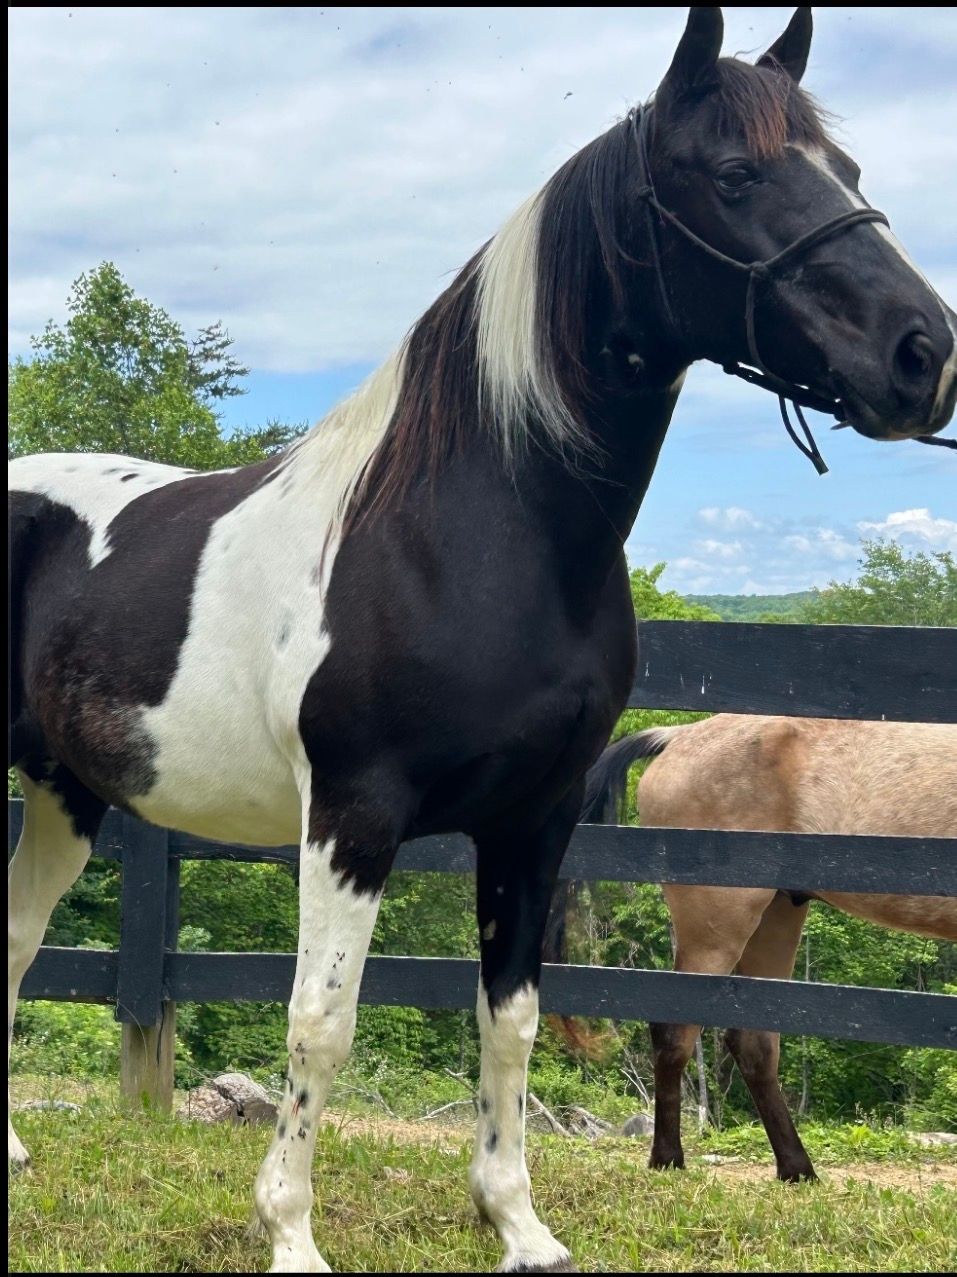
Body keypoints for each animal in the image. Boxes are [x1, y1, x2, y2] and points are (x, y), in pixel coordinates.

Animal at [574, 715, 957, 1183]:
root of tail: (679, 735)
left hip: (776, 917)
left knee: (755, 1043)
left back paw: (796, 1169)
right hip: (718, 923)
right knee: (675, 1032)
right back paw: (668, 1159)